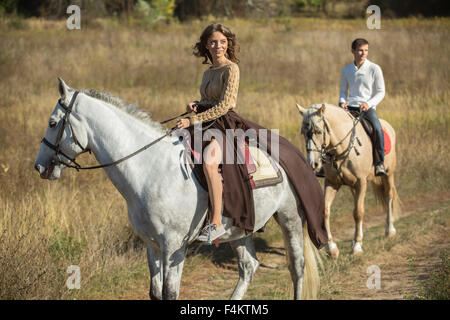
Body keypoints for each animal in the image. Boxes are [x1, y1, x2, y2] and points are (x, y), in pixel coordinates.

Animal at [36, 78, 324, 300]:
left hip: (290, 218)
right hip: (241, 227)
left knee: (296, 267)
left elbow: (170, 293)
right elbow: (155, 293)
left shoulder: (174, 246)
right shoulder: (151, 245)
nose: (39, 166)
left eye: (52, 123)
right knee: (249, 266)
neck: (150, 169)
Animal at [298, 104, 400, 258]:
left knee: (389, 195)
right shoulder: (332, 183)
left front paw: (357, 247)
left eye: (318, 131)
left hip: (388, 174)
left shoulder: (361, 182)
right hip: (353, 186)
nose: (312, 164)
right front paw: (332, 249)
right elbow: (326, 211)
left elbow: (358, 212)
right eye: (303, 133)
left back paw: (390, 230)